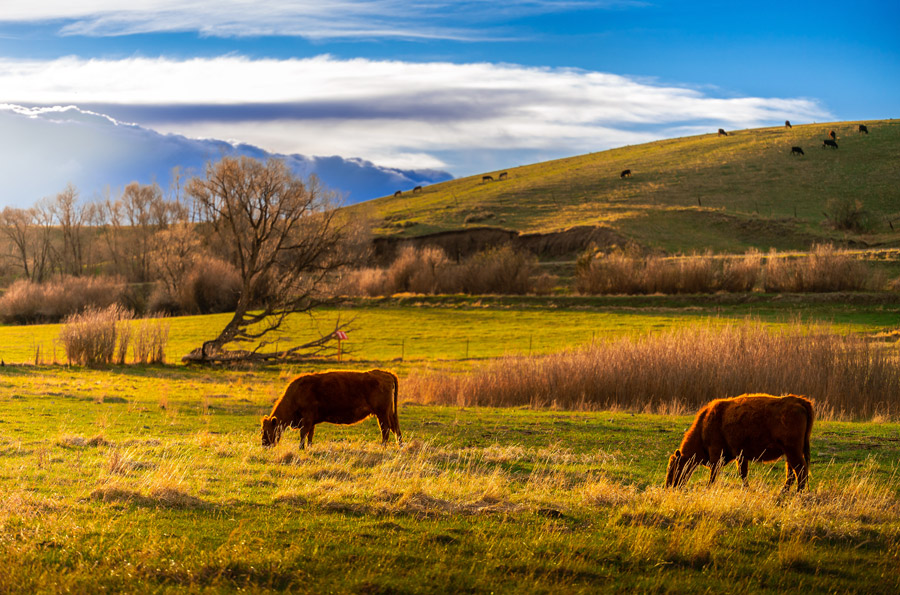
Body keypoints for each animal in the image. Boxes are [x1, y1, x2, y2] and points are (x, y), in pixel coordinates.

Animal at [260, 370, 400, 450]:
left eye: (267, 430)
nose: (264, 445)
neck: (296, 393)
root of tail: (385, 374)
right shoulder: (311, 421)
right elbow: (310, 435)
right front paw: (309, 447)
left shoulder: (307, 419)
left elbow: (303, 434)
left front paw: (301, 448)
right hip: (388, 413)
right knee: (395, 427)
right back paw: (400, 445)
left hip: (381, 413)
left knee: (385, 429)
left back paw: (383, 446)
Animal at [660, 396, 816, 494]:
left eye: (672, 468)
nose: (668, 487)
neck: (704, 425)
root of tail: (799, 401)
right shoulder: (741, 455)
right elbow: (743, 474)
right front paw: (746, 489)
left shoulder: (716, 453)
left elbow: (714, 474)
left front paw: (709, 488)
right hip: (789, 452)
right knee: (791, 472)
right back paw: (783, 492)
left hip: (793, 451)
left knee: (800, 470)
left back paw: (798, 493)